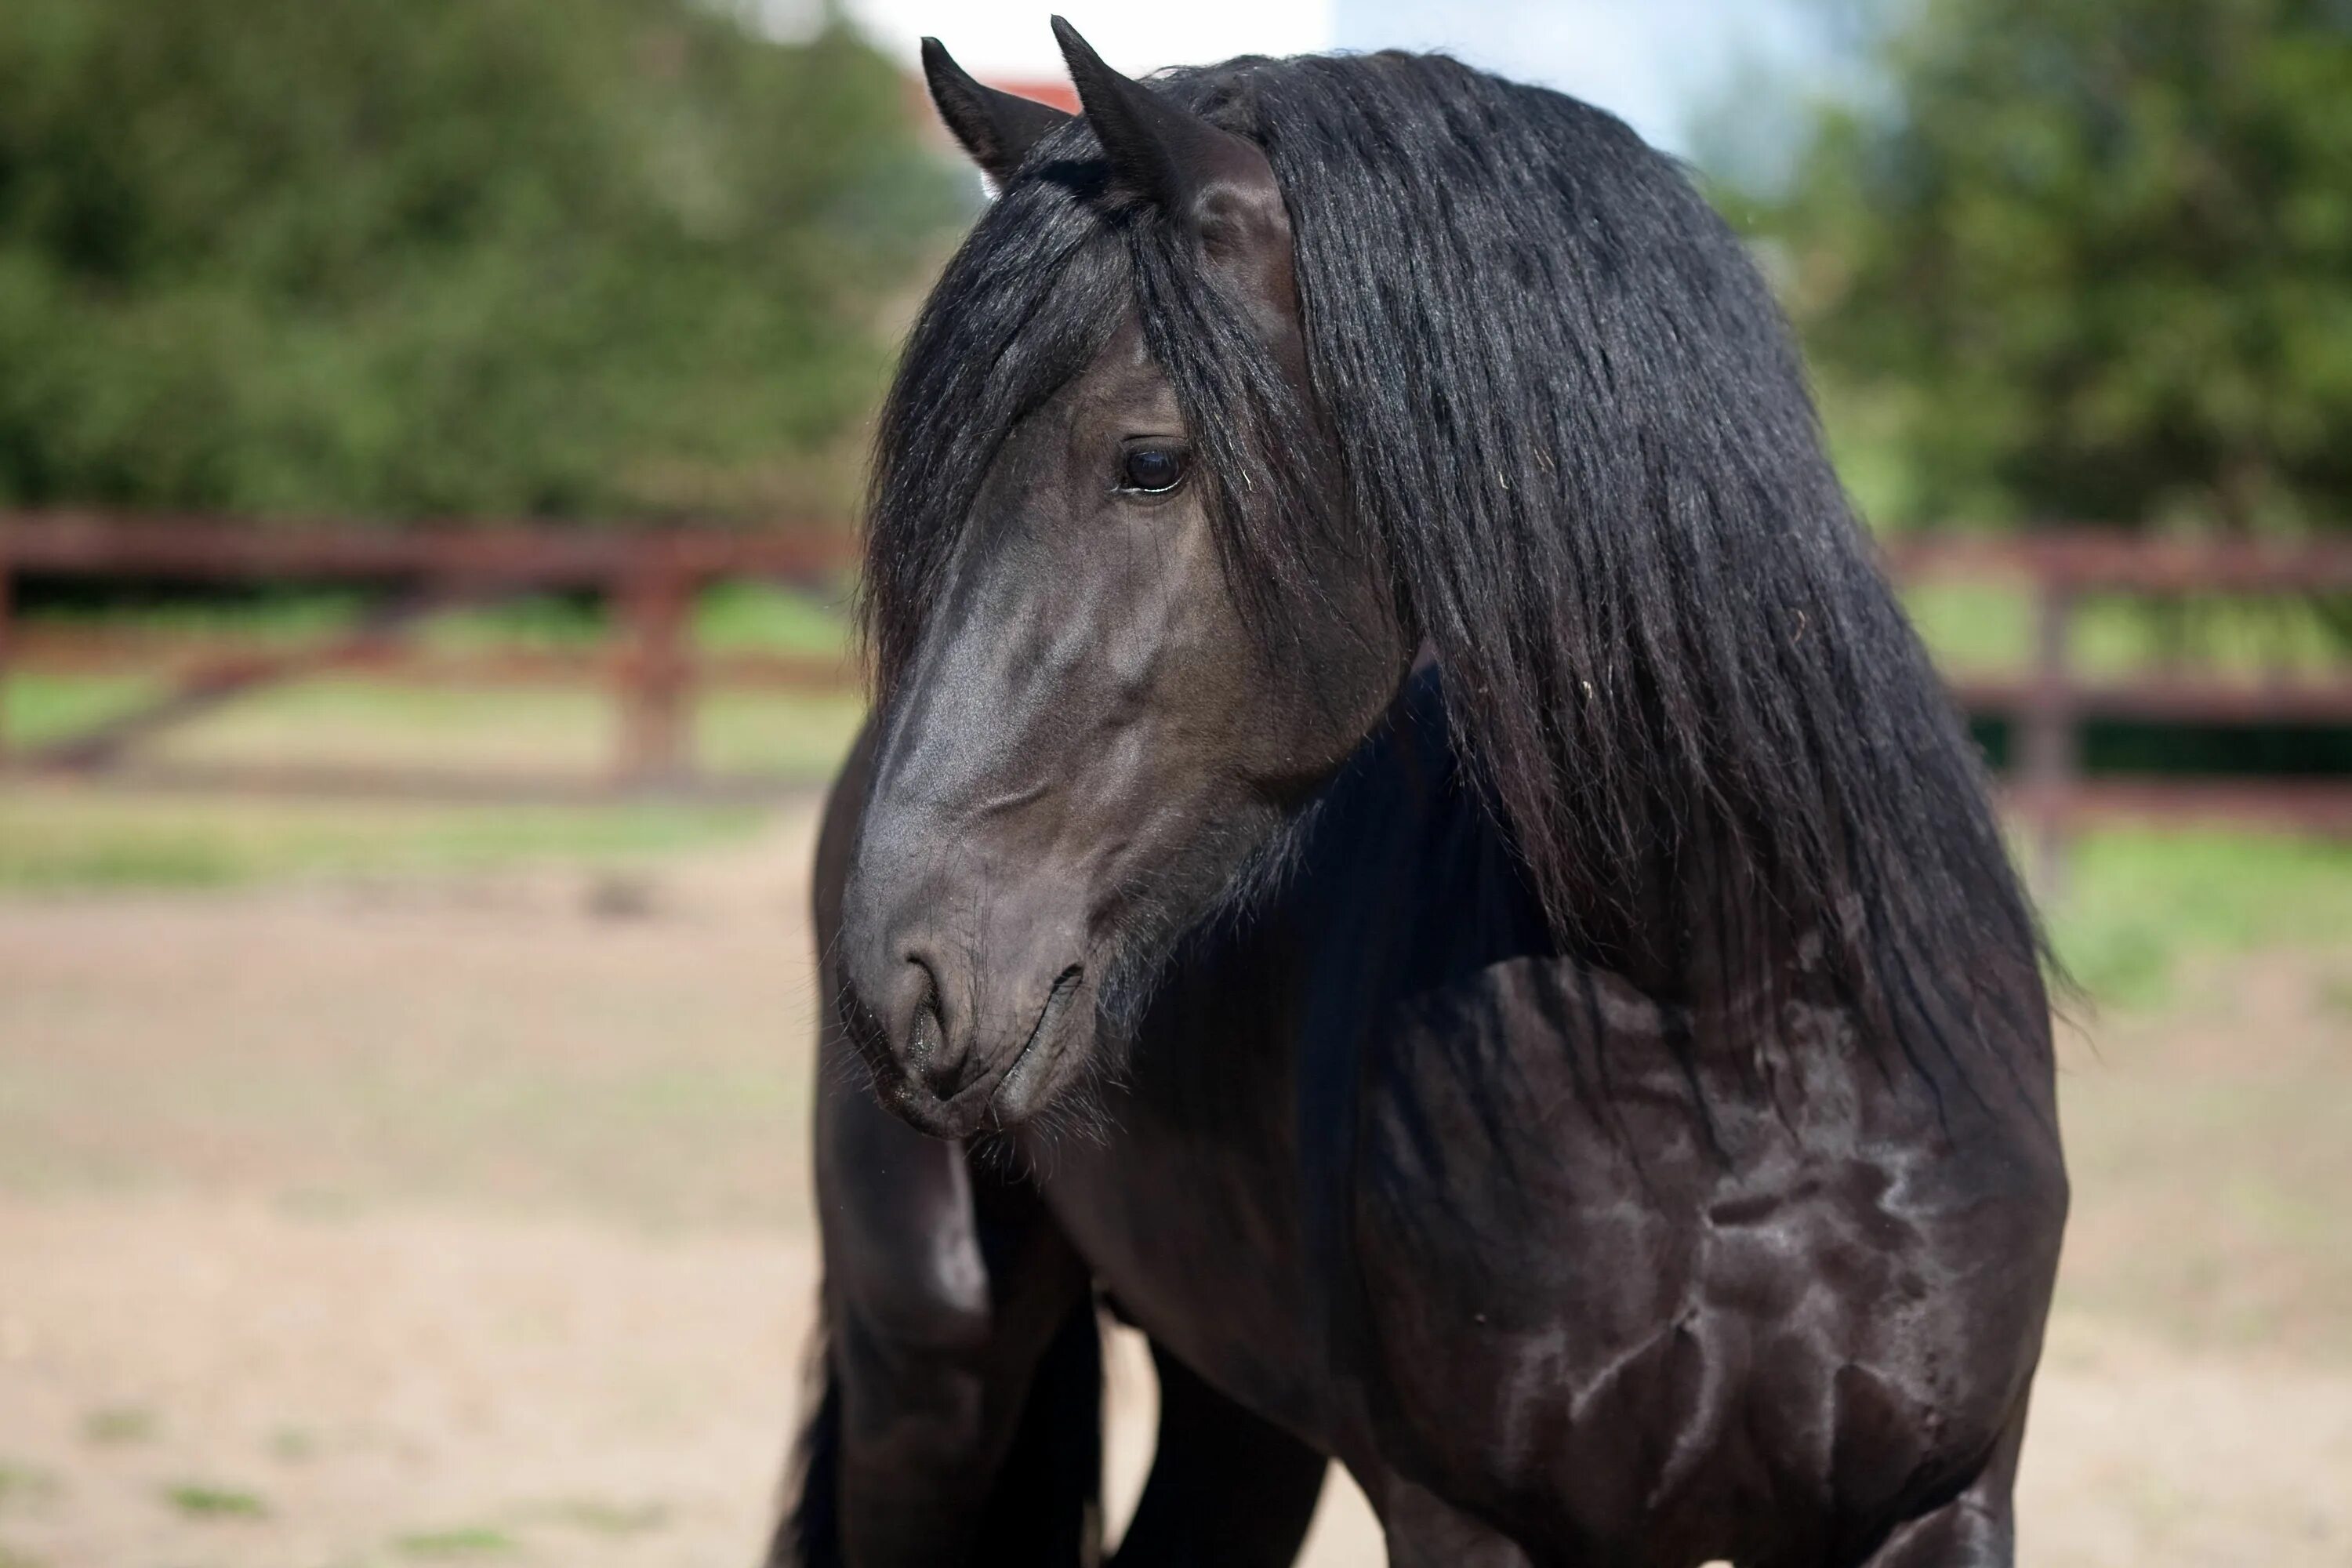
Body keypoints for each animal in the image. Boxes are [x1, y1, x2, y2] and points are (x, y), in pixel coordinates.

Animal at [767, 24, 2060, 1568]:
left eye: (1147, 462)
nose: (901, 972)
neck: (1740, 1016)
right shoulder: (1468, 1515)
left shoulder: (1940, 1501)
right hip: (929, 1370)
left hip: (1236, 1410)